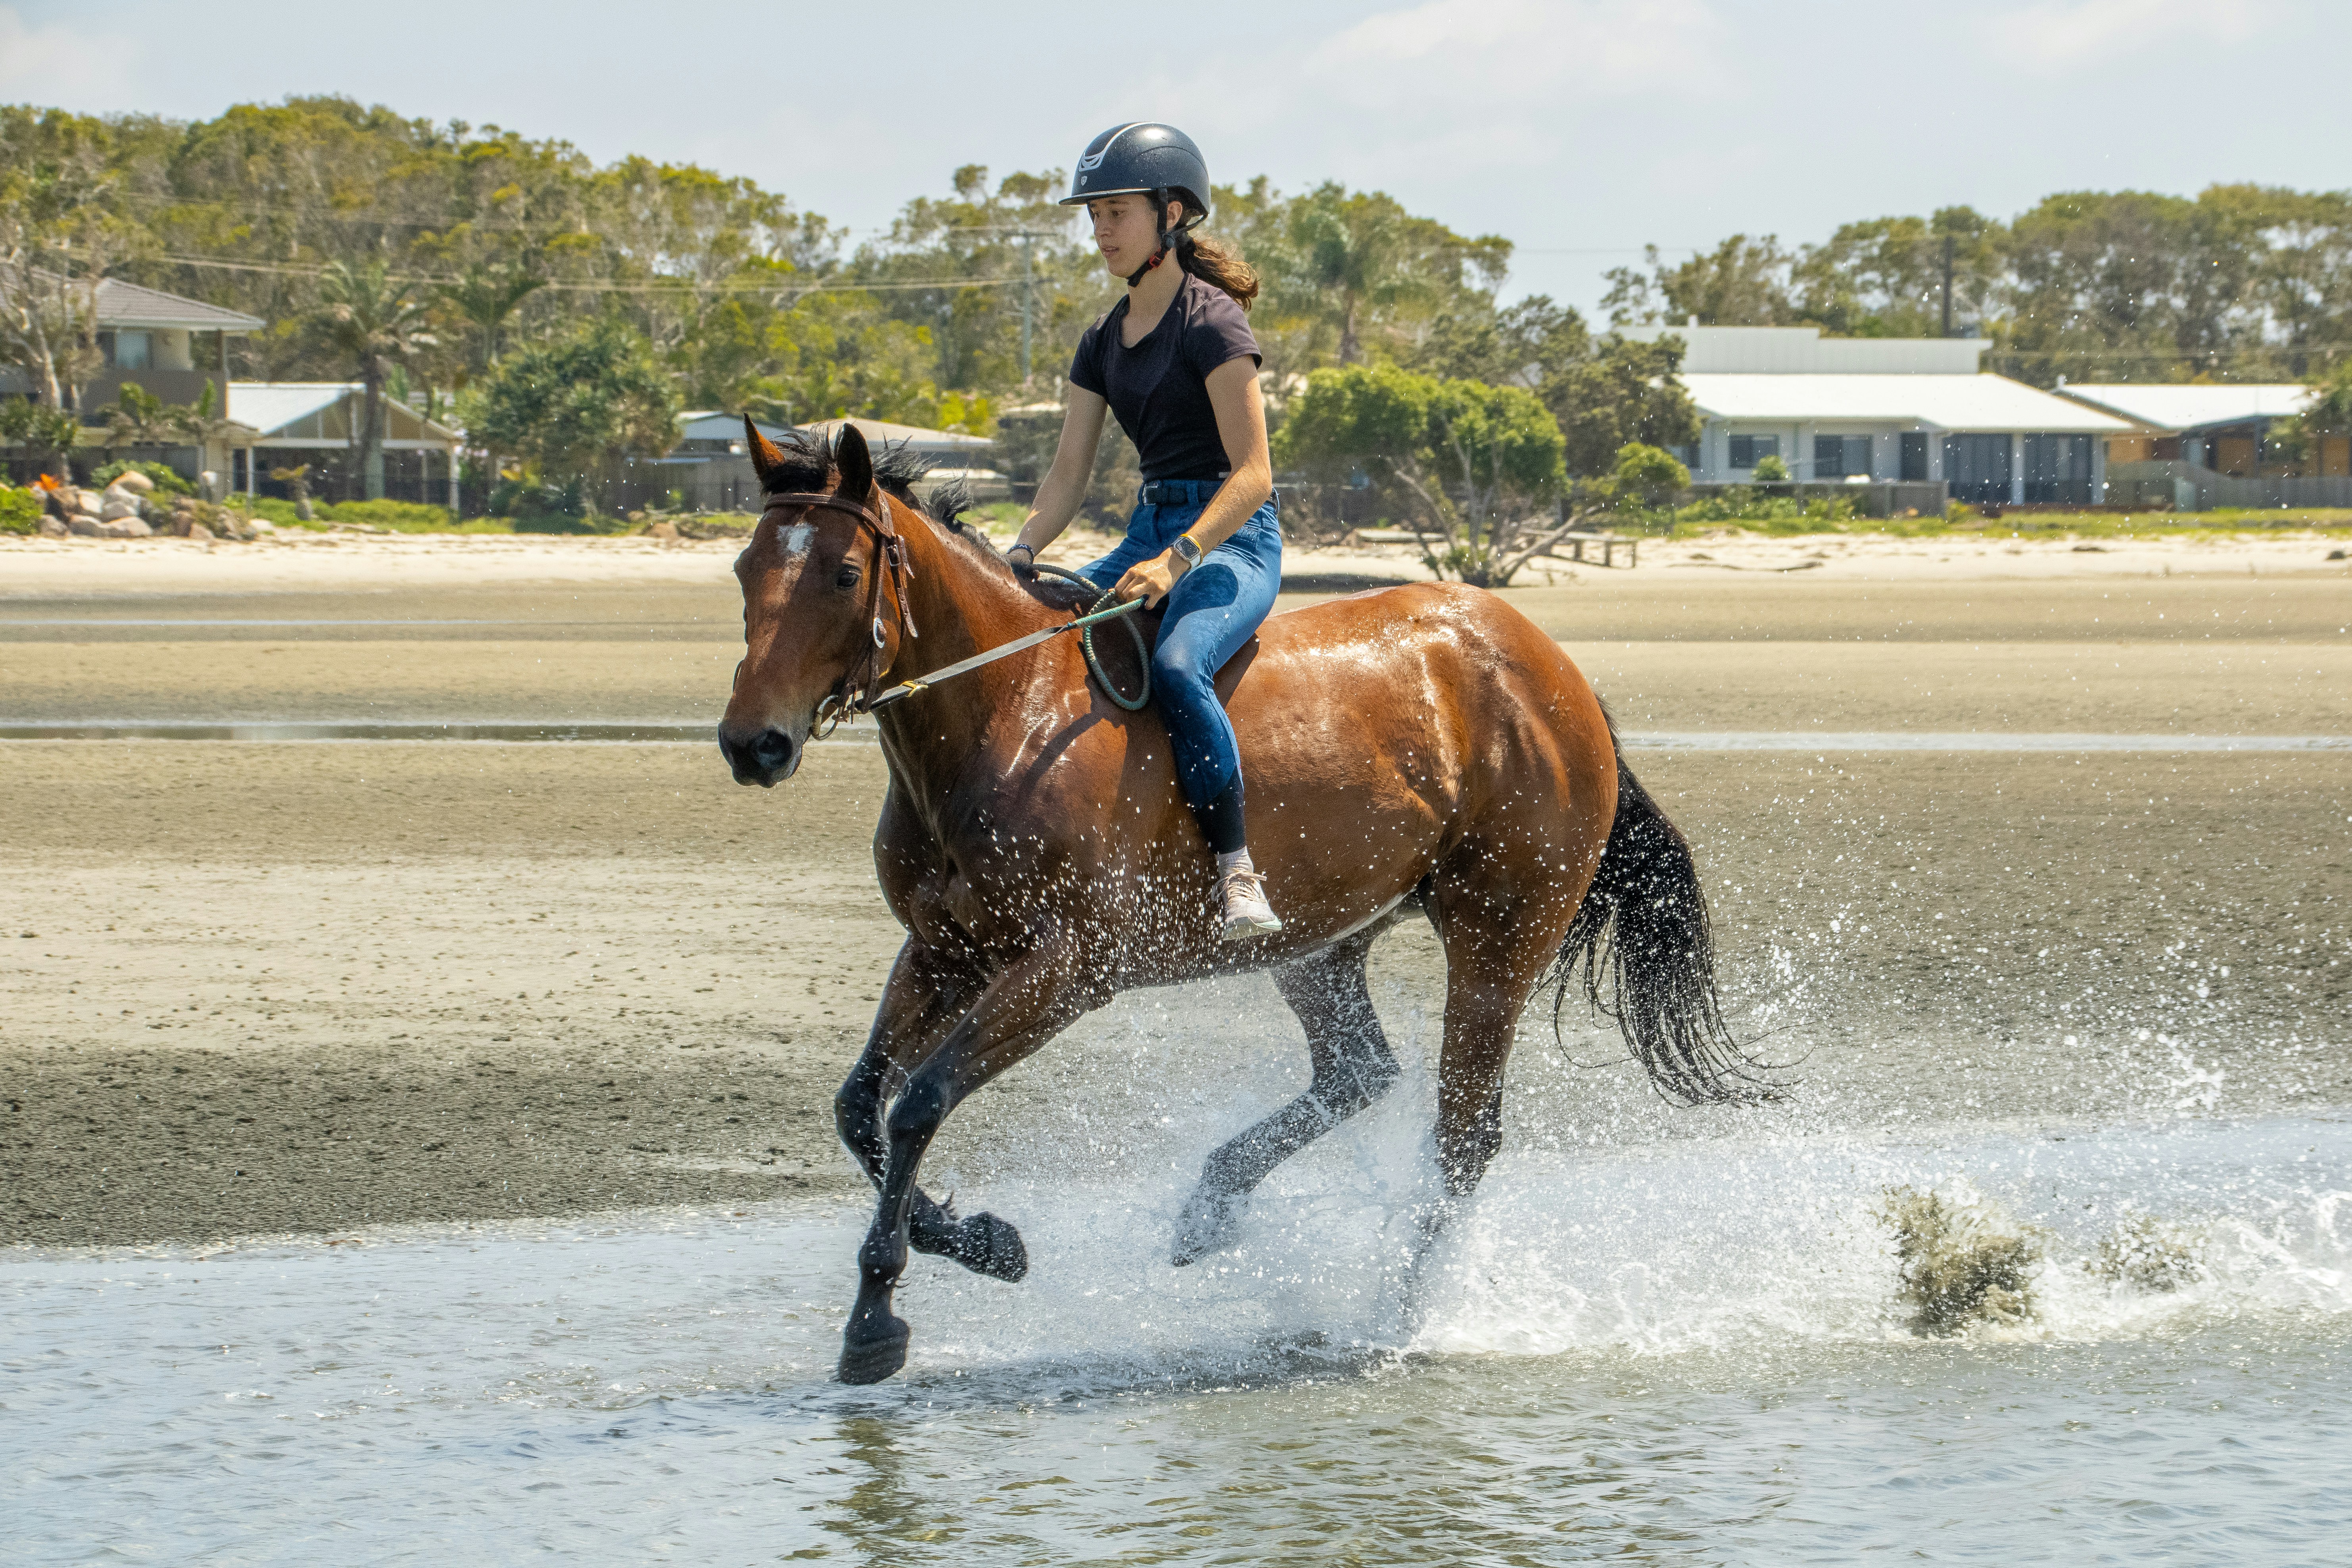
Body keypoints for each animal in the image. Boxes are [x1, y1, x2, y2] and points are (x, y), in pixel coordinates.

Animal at [717, 420, 1762, 1385]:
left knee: (1463, 1135)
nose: (752, 744)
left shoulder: (1065, 969)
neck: (1004, 714)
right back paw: (1211, 1209)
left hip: (1497, 936)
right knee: (1359, 1071)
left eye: (844, 573)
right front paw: (979, 1240)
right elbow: (860, 1106)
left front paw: (878, 1314)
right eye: (743, 568)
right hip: (1319, 942)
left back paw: (1402, 1313)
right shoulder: (941, 952)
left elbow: (919, 1101)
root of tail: (1554, 670)